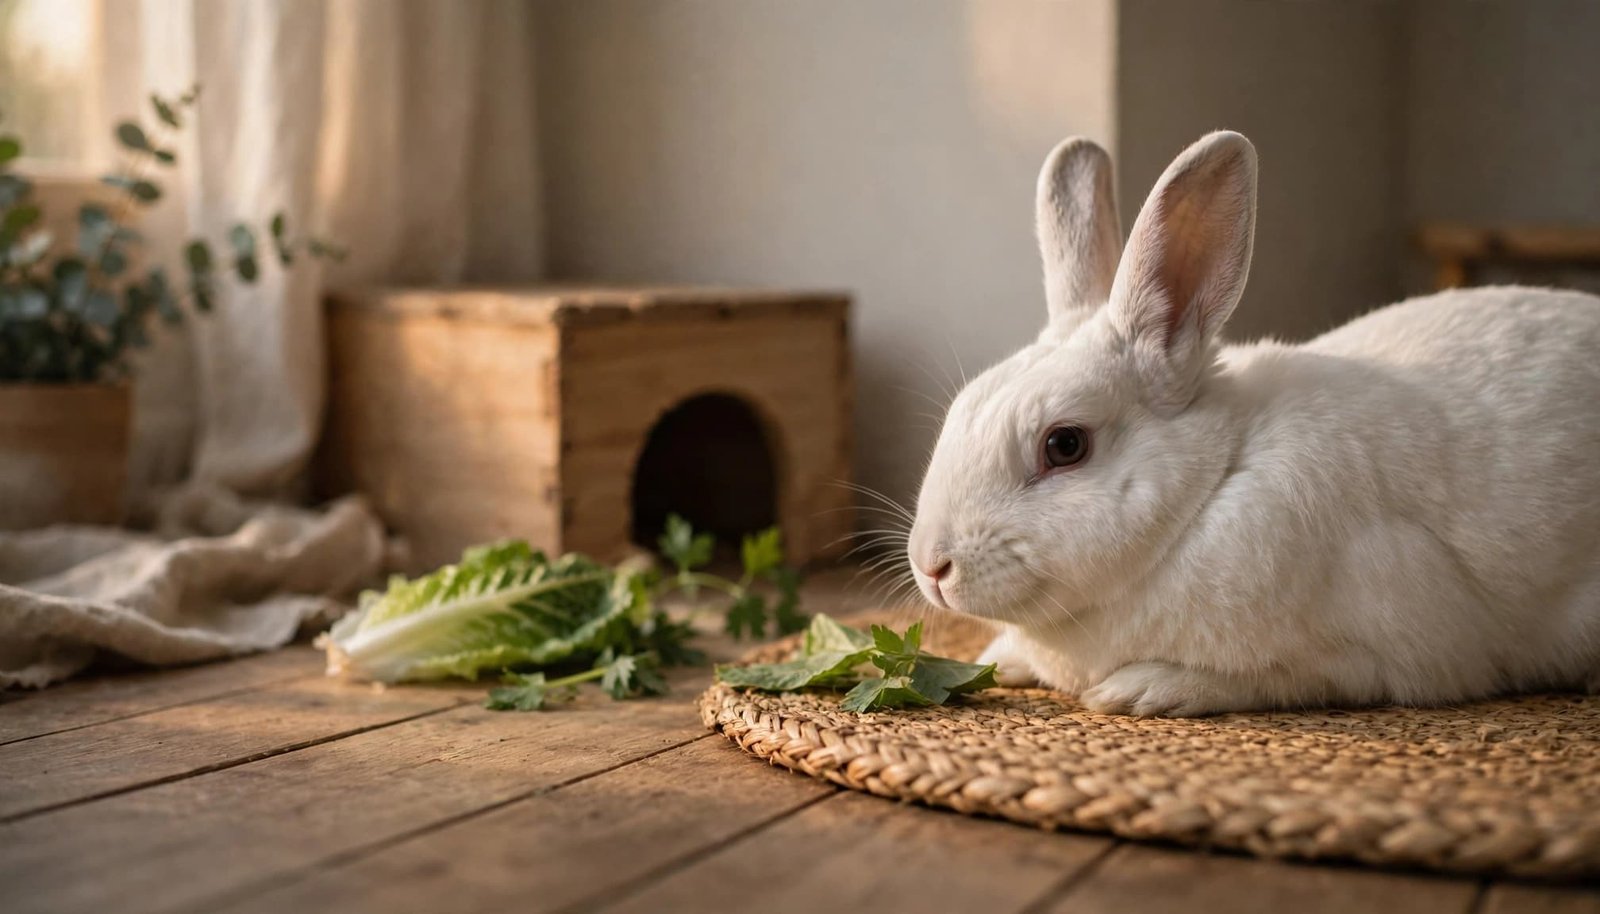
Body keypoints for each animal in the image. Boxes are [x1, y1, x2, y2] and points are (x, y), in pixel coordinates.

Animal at [907, 130, 1600, 716]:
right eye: (960, 407)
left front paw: (1143, 689)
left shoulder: (1387, 651)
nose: (931, 566)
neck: (1213, 484)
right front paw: (1001, 659)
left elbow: (1274, 678)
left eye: (1065, 444)